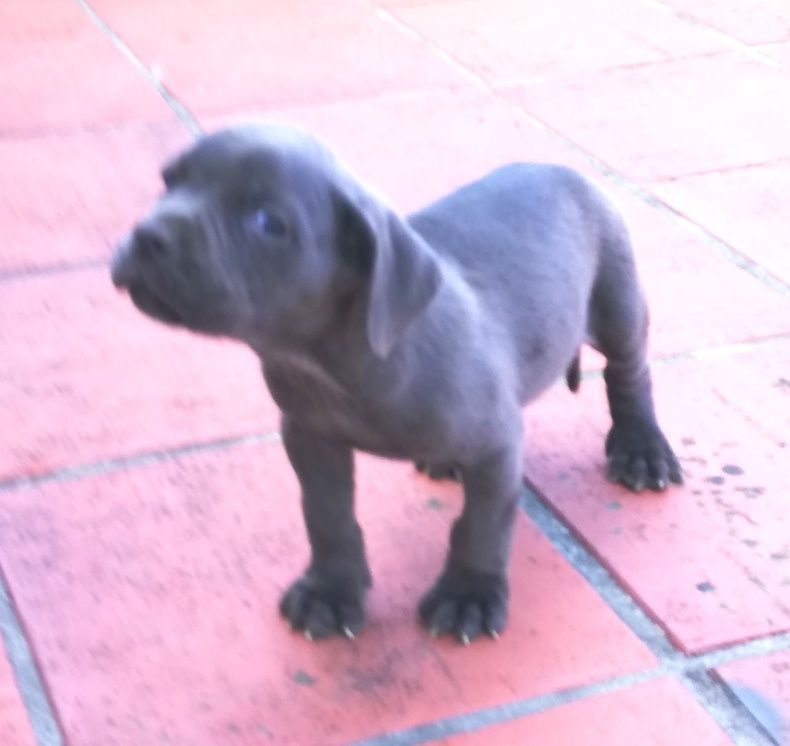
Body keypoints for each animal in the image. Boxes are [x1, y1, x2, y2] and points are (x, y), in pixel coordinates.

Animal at [110, 120, 680, 640]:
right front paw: (331, 590)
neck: (334, 362)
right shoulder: (309, 437)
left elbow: (481, 526)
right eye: (169, 182)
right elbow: (328, 516)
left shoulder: (496, 448)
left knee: (629, 376)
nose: (146, 235)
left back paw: (642, 450)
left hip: (618, 305)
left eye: (267, 221)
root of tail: (562, 169)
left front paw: (469, 596)